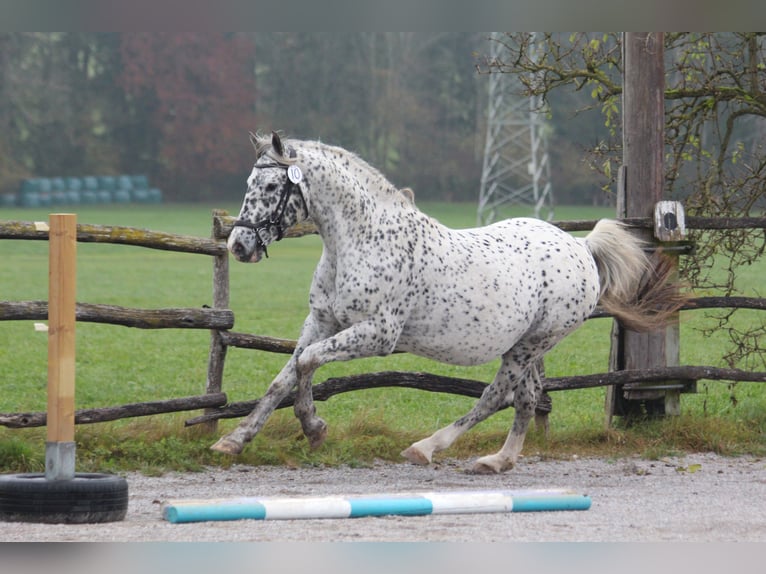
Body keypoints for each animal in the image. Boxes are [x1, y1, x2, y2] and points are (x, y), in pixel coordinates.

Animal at [213, 133, 688, 474]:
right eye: (250, 183)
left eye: (271, 185)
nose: (239, 246)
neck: (362, 240)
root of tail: (581, 247)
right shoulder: (321, 321)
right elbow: (285, 375)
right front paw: (233, 440)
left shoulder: (377, 335)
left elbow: (309, 363)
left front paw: (314, 428)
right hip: (530, 345)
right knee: (527, 398)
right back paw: (498, 461)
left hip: (529, 345)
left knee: (496, 396)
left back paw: (427, 448)